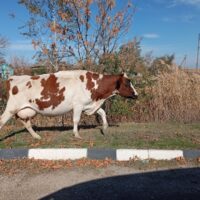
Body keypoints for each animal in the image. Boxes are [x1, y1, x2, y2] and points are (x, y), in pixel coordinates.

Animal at [0, 70, 138, 139]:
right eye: (127, 83)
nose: (136, 94)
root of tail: (12, 78)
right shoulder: (78, 105)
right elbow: (76, 120)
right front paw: (76, 135)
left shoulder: (88, 105)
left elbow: (102, 112)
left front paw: (104, 128)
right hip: (11, 108)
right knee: (2, 120)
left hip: (27, 109)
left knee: (26, 123)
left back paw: (36, 136)